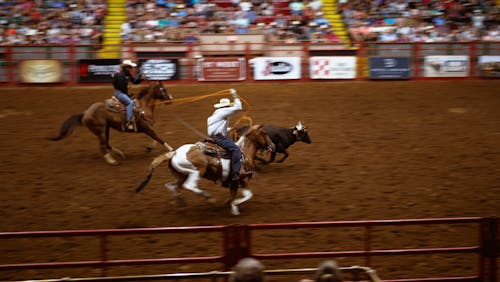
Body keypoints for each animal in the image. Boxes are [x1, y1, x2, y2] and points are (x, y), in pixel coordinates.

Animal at [135, 124, 276, 215]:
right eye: (264, 133)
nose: (273, 146)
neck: (244, 154)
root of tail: (174, 153)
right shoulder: (242, 180)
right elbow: (248, 195)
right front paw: (234, 208)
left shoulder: (234, 183)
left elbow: (233, 195)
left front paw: (228, 204)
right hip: (197, 171)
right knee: (189, 186)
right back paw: (208, 197)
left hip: (181, 175)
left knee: (172, 186)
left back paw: (180, 203)